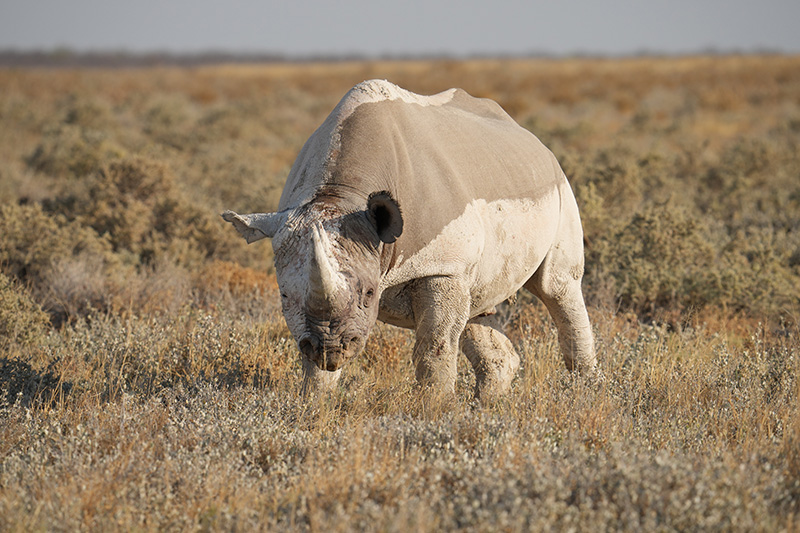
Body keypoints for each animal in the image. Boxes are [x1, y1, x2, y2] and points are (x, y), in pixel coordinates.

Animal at [223, 79, 596, 401]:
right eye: (283, 296)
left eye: (369, 293)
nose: (331, 348)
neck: (338, 197)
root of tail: (534, 140)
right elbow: (312, 362)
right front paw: (314, 405)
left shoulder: (442, 266)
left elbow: (435, 345)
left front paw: (433, 410)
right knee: (478, 305)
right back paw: (488, 407)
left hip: (559, 187)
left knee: (557, 288)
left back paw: (584, 393)